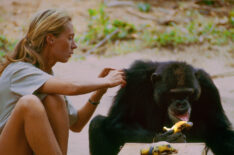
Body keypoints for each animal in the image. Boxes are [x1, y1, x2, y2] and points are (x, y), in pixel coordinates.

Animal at [88, 60, 234, 154]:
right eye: (173, 94)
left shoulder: (208, 85)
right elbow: (117, 121)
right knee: (97, 123)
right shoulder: (134, 79)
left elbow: (218, 129)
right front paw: (163, 139)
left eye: (187, 93)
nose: (181, 103)